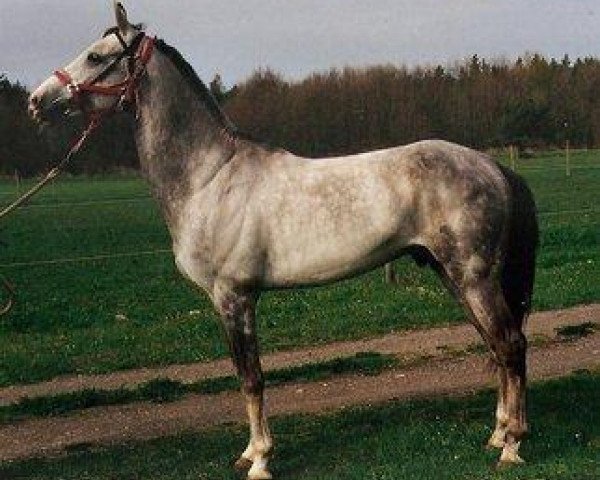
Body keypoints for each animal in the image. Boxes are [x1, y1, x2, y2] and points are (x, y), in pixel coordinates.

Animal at [28, 2, 540, 476]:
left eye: (96, 56)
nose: (36, 101)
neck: (210, 178)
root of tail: (491, 165)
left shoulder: (234, 297)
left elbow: (251, 378)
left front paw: (260, 460)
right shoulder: (227, 301)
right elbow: (244, 376)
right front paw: (249, 452)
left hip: (473, 278)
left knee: (510, 344)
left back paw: (512, 446)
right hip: (455, 278)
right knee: (495, 346)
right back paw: (496, 436)